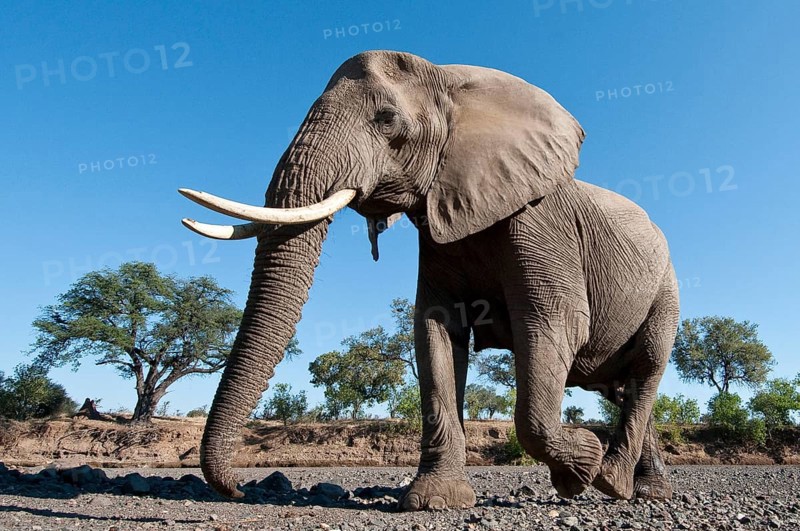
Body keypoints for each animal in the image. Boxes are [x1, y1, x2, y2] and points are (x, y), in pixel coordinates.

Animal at [179, 50, 679, 510]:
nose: (239, 489)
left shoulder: (540, 222)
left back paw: (615, 483)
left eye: (386, 120)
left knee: (646, 369)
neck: (453, 82)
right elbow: (435, 332)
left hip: (666, 293)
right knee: (623, 388)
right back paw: (637, 489)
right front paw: (435, 500)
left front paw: (580, 468)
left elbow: (553, 325)